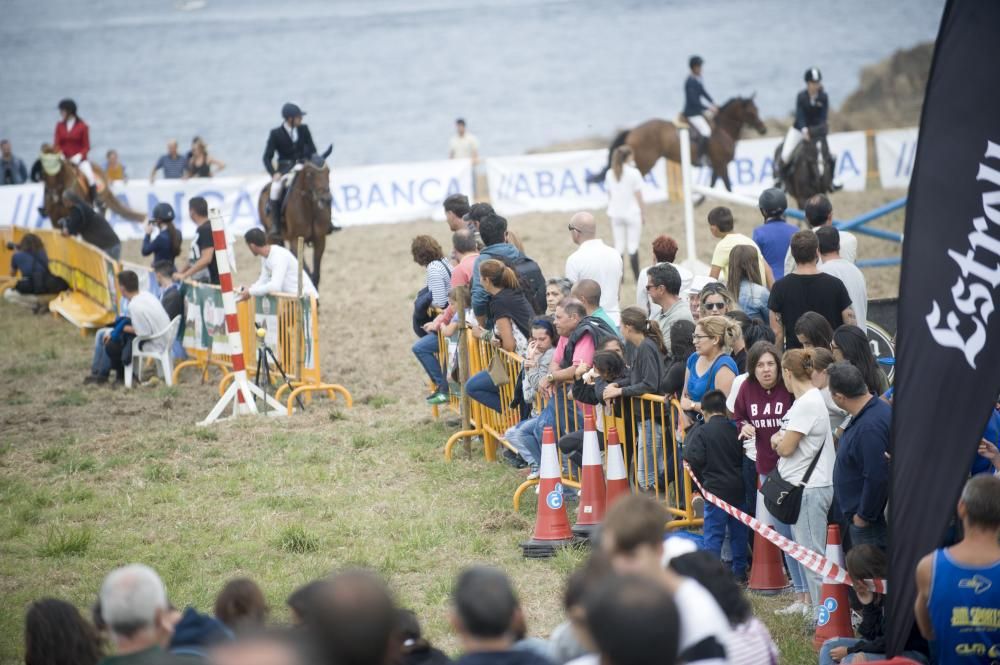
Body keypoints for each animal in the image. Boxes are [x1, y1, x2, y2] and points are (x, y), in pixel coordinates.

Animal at [258, 159, 336, 290]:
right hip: (270, 236)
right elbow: (305, 271)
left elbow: (316, 274)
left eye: (328, 171)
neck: (310, 208)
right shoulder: (295, 240)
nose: (326, 199)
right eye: (310, 174)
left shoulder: (320, 240)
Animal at [588, 97, 768, 193]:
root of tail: (632, 130)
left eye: (758, 110)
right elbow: (728, 186)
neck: (723, 129)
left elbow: (712, 185)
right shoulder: (721, 163)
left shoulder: (717, 165)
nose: (763, 129)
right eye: (751, 112)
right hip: (645, 162)